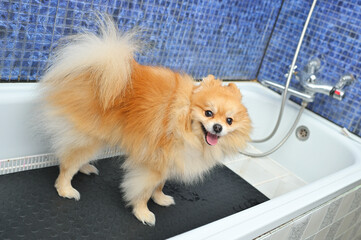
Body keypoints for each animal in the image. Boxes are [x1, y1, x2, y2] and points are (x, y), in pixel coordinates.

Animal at [40, 15, 250, 226]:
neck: (183, 122)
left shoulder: (168, 161)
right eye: (208, 113)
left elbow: (160, 185)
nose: (218, 127)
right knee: (68, 164)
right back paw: (65, 188)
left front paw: (160, 198)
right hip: (88, 136)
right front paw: (143, 212)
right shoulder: (153, 164)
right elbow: (144, 192)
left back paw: (85, 167)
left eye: (229, 120)